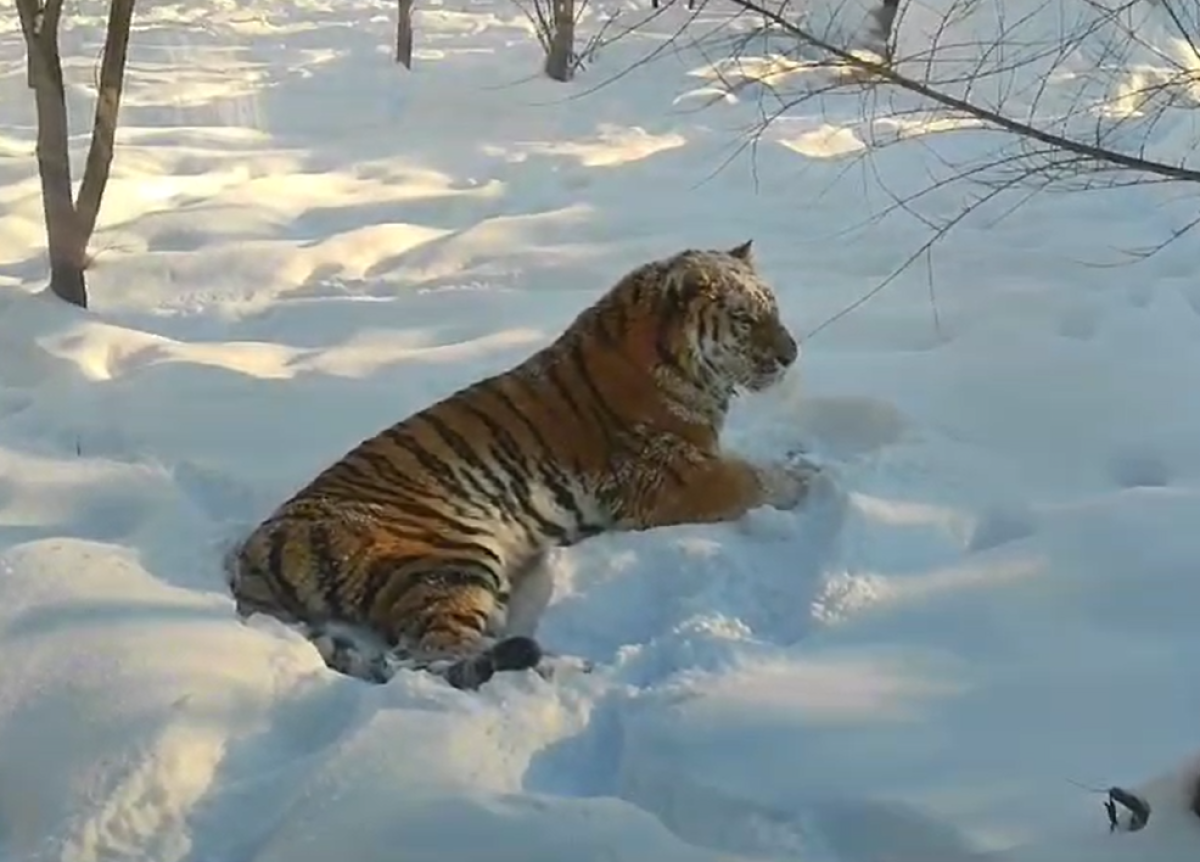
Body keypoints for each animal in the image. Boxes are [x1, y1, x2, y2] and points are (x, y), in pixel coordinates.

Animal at [223, 240, 825, 691]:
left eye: (773, 307)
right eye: (745, 319)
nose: (792, 354)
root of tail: (253, 552)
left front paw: (803, 459)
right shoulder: (668, 479)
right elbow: (751, 479)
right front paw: (809, 481)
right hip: (449, 558)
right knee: (434, 656)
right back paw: (568, 670)